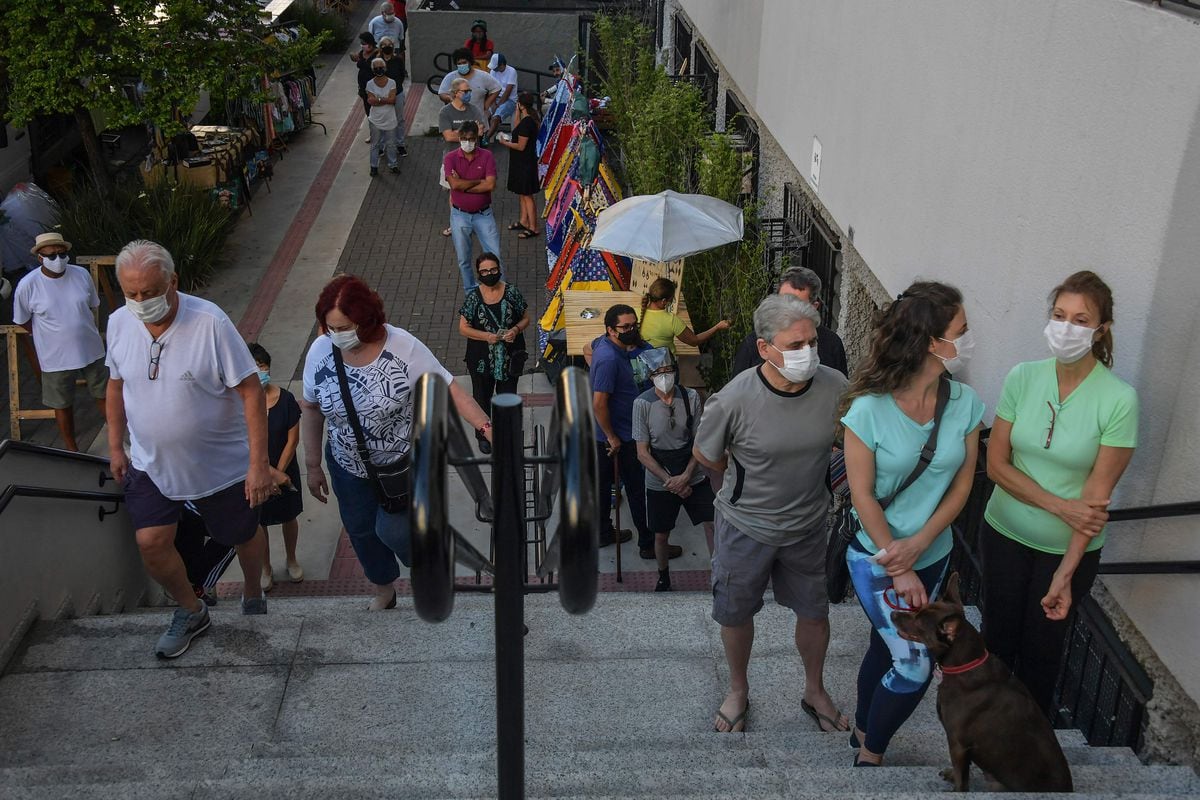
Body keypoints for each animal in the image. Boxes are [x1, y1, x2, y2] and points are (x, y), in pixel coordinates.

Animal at [888, 575, 1075, 796]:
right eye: (918, 609)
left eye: (919, 621)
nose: (892, 613)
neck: (965, 664)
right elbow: (962, 770)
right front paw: (952, 775)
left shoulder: (957, 743)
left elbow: (962, 778)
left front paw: (956, 789)